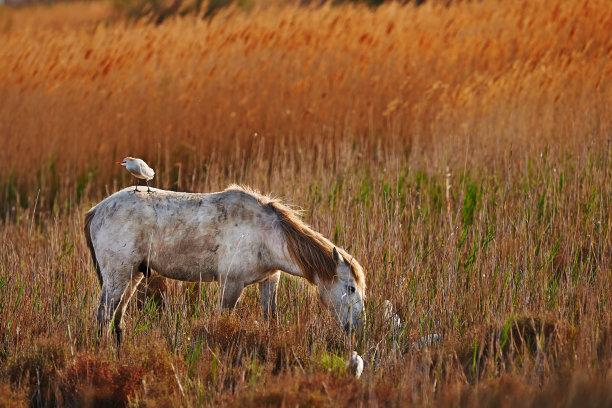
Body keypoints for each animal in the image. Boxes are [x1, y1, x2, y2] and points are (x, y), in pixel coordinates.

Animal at [83, 185, 366, 348]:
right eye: (350, 288)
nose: (357, 328)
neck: (265, 233)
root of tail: (97, 210)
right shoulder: (231, 284)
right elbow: (222, 321)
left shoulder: (269, 280)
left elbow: (270, 318)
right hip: (117, 276)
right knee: (104, 316)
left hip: (132, 276)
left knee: (117, 319)